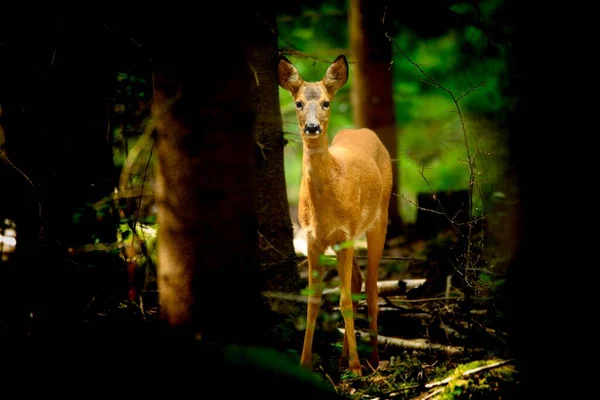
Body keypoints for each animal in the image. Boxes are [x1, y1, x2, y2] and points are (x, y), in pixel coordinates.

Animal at [278, 54, 394, 376]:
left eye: (326, 102)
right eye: (299, 103)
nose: (312, 127)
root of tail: (363, 131)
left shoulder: (345, 235)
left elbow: (343, 301)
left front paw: (356, 367)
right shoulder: (312, 240)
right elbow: (314, 300)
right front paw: (305, 363)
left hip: (379, 219)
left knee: (371, 288)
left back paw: (374, 358)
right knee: (357, 282)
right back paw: (344, 357)